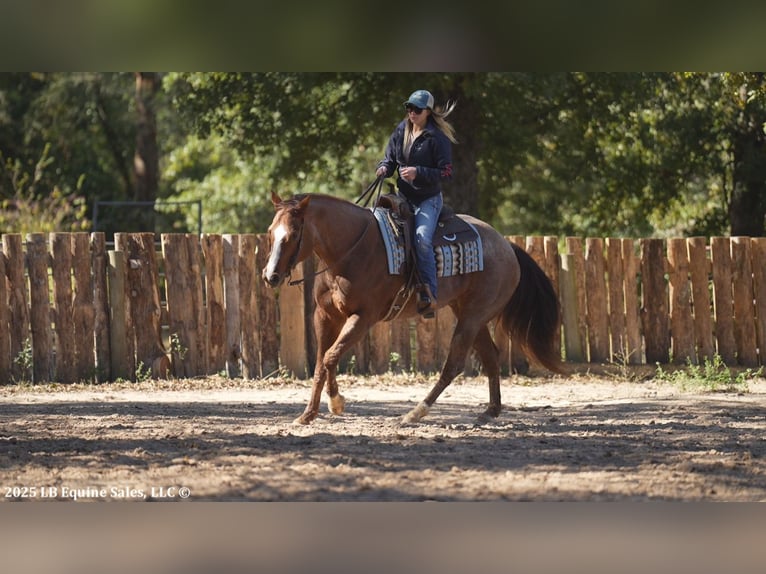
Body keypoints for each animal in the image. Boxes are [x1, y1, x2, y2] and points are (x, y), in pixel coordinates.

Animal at [262, 191, 564, 425]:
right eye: (270, 233)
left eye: (294, 234)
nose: (270, 276)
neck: (351, 251)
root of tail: (507, 246)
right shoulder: (325, 316)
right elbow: (322, 363)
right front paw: (308, 414)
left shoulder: (363, 318)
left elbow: (330, 357)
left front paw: (336, 403)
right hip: (470, 315)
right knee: (490, 357)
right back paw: (490, 412)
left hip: (472, 317)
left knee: (454, 364)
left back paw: (414, 413)